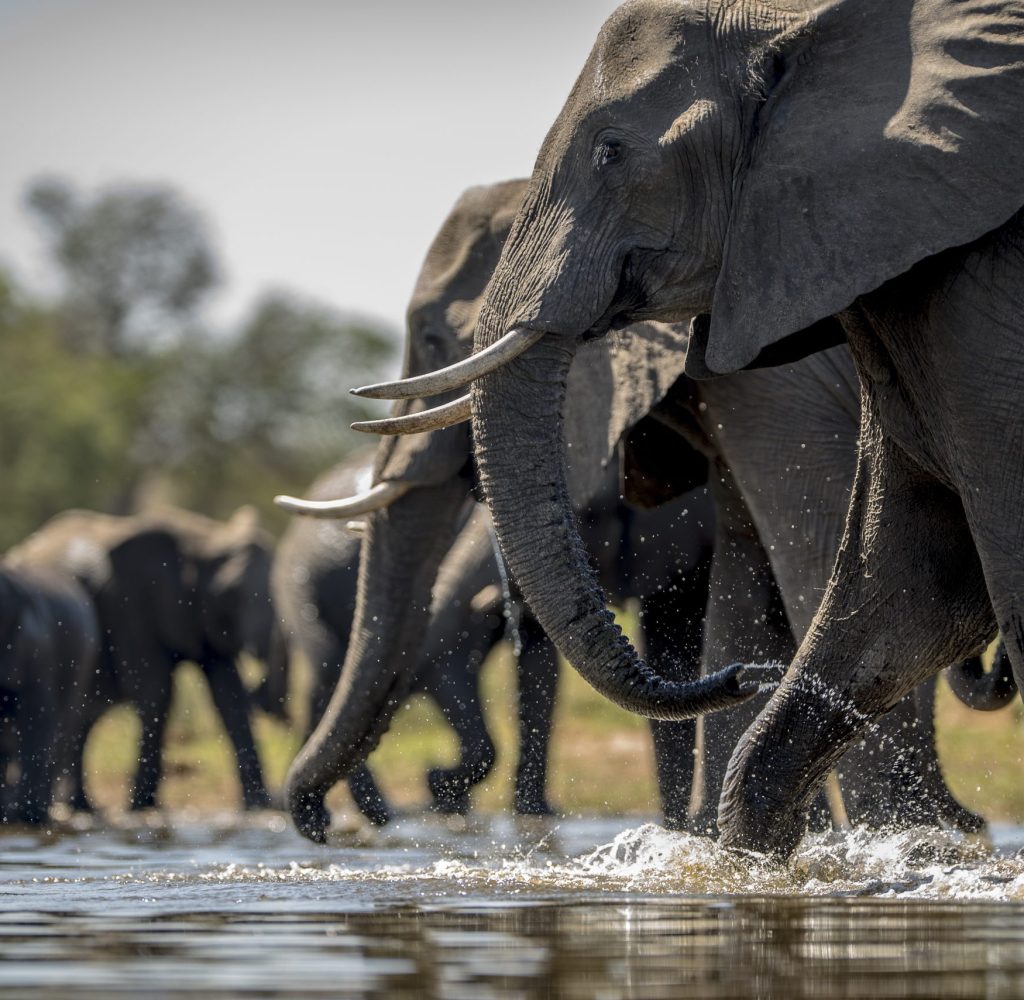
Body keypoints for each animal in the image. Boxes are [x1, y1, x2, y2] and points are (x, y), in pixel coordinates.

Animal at [6, 507, 276, 810]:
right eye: (231, 593)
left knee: (82, 719)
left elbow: (229, 696)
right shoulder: (130, 603)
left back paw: (82, 806)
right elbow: (156, 690)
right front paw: (141, 806)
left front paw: (259, 806)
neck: (203, 538)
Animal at [284, 179, 978, 843]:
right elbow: (737, 589)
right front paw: (706, 845)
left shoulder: (779, 392)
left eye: (433, 339)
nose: (321, 828)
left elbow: (816, 557)